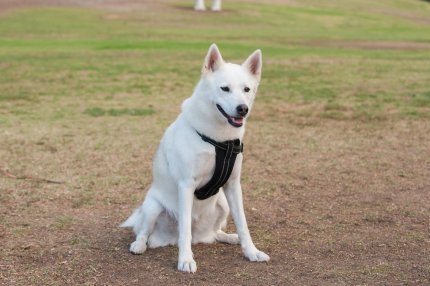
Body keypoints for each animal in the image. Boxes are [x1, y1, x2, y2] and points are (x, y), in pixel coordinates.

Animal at [121, 44, 268, 272]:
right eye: (224, 88)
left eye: (247, 89)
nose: (243, 109)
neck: (218, 139)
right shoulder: (186, 185)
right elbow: (185, 230)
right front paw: (186, 260)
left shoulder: (233, 185)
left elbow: (243, 224)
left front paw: (251, 252)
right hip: (153, 207)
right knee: (146, 232)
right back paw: (139, 245)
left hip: (223, 204)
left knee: (213, 234)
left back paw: (229, 237)